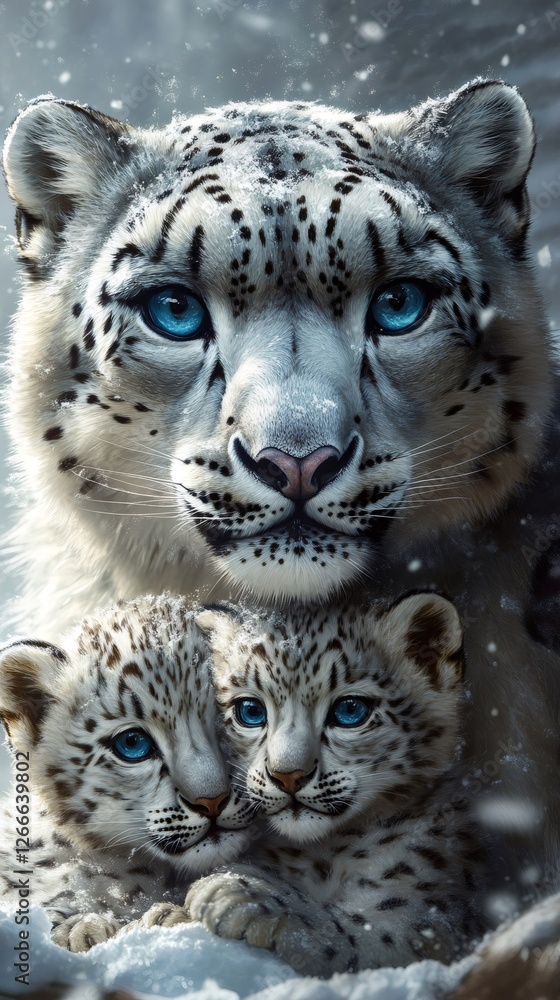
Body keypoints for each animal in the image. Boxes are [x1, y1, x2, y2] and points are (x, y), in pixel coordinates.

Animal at [186, 590, 482, 976]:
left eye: (350, 710)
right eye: (250, 710)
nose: (287, 775)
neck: (322, 853)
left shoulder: (424, 916)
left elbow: (358, 932)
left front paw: (237, 891)